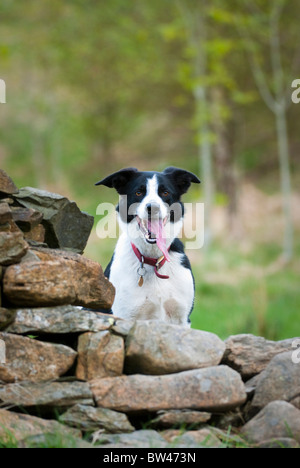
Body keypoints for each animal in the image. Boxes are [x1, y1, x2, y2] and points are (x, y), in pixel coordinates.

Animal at [95, 167, 199, 326]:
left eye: (165, 192)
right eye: (139, 192)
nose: (153, 208)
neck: (154, 260)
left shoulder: (182, 318)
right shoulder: (125, 316)